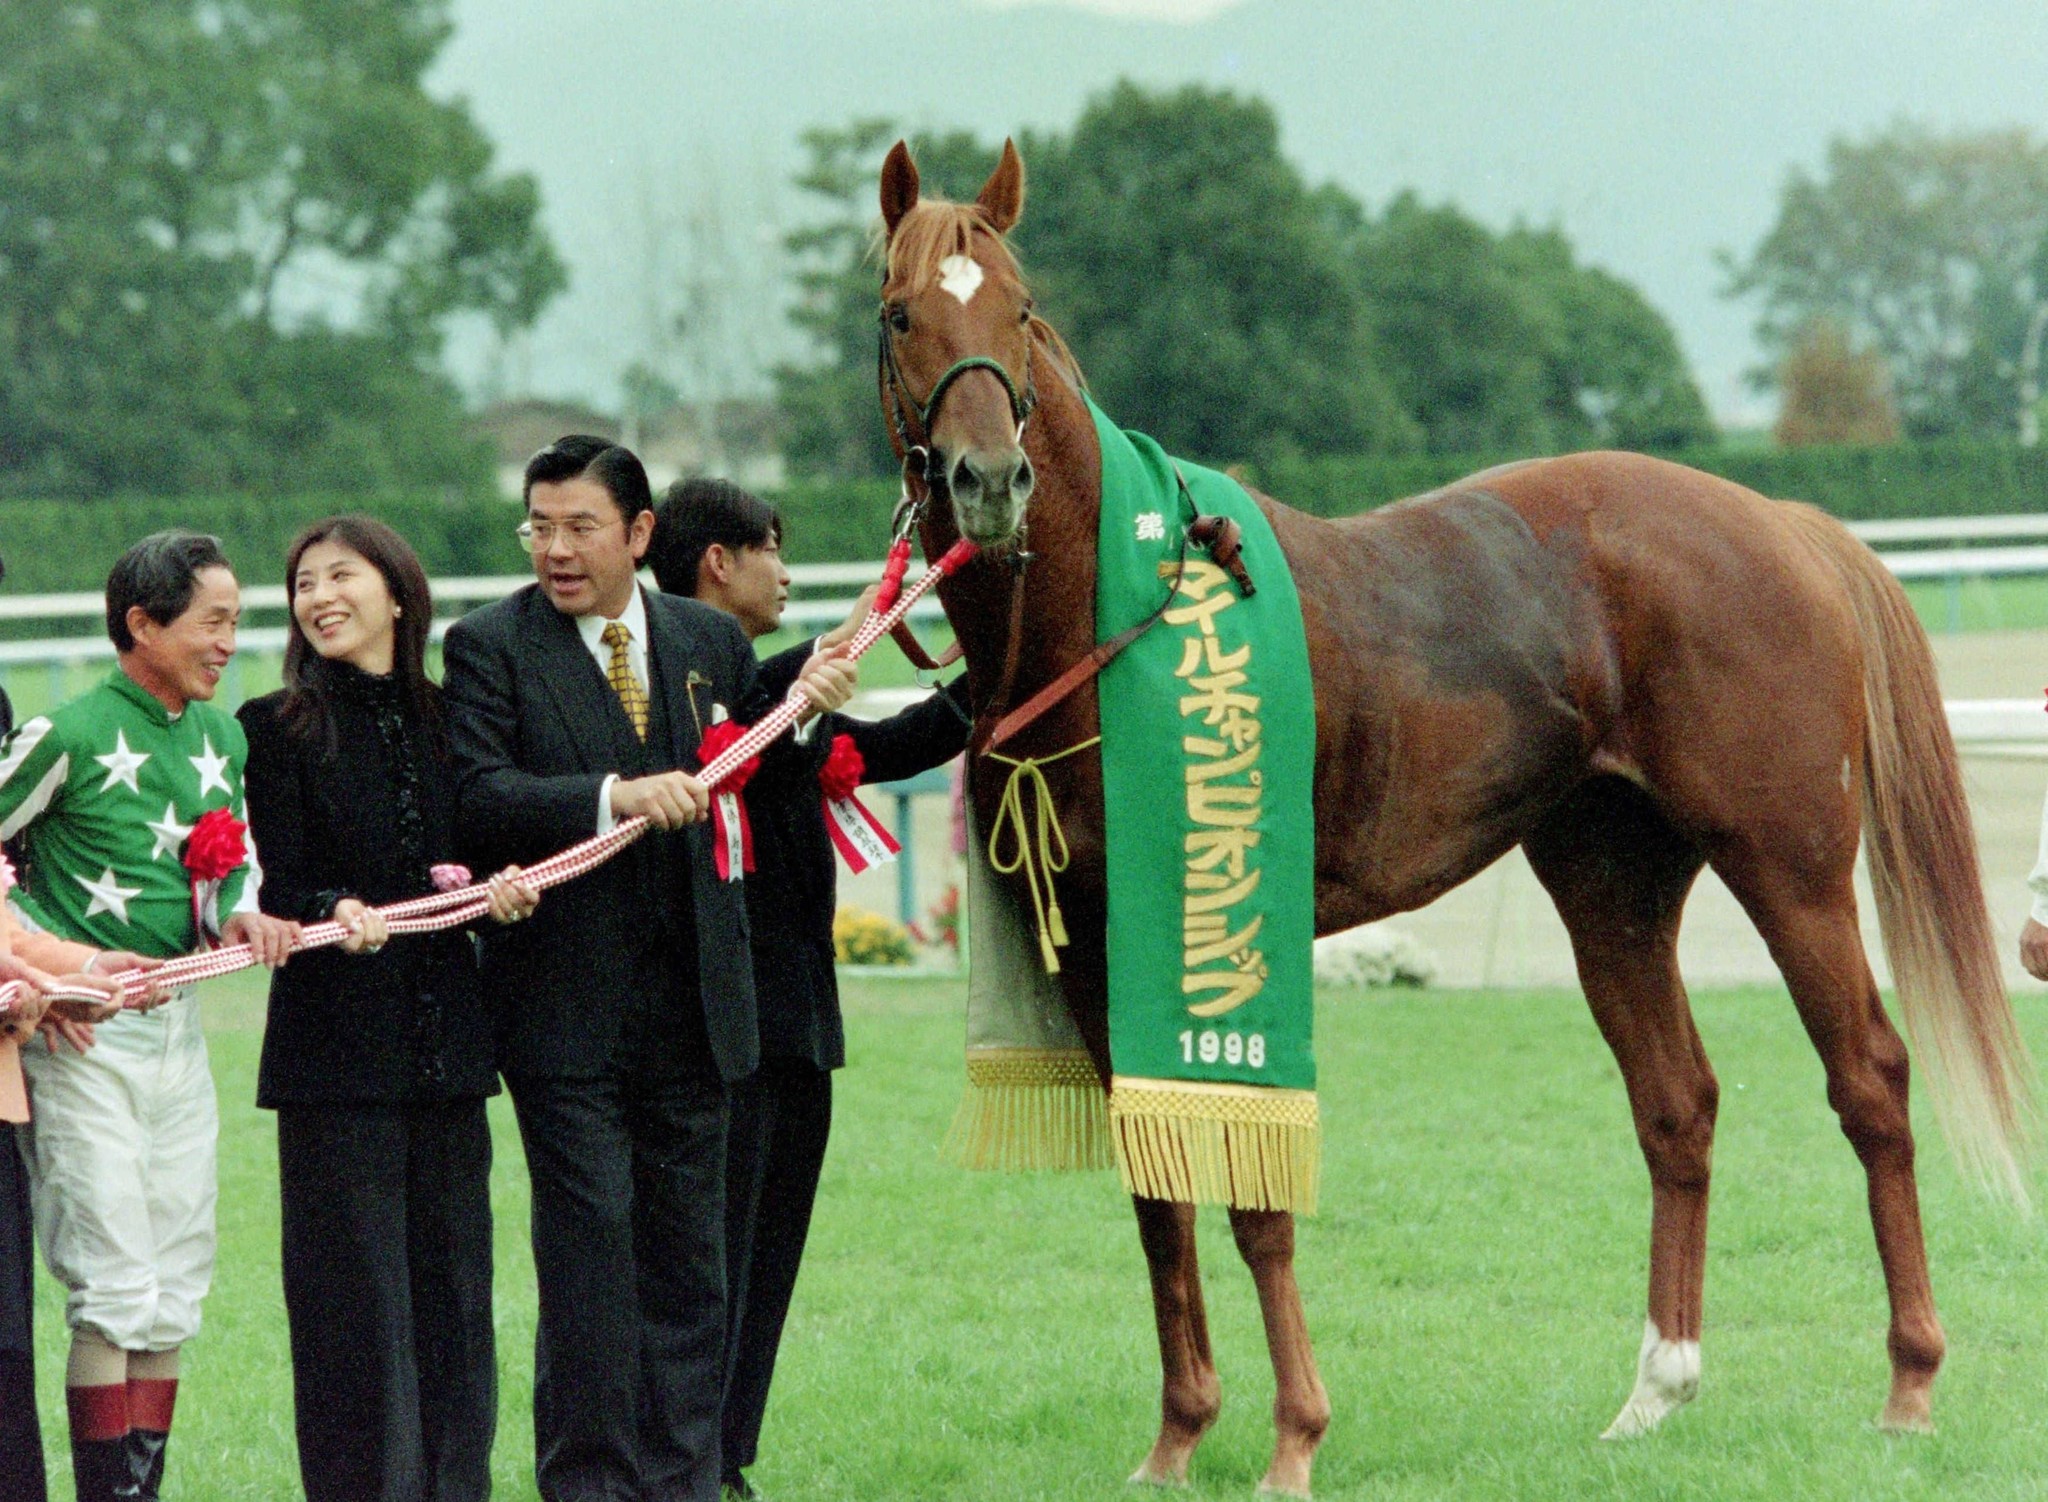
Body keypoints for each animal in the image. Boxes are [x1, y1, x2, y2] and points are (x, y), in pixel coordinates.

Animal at [872, 137, 2033, 1497]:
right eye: (903, 314)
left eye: (1019, 308)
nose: (989, 481)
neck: (1120, 612)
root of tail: (1779, 524)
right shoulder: (1100, 960)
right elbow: (1159, 1188)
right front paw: (1177, 1434)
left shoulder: (1230, 947)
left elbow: (1256, 1193)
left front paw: (1292, 1436)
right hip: (1610, 888)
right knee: (1675, 1102)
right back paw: (1653, 1389)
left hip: (1787, 865)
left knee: (1868, 1079)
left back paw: (1908, 1382)